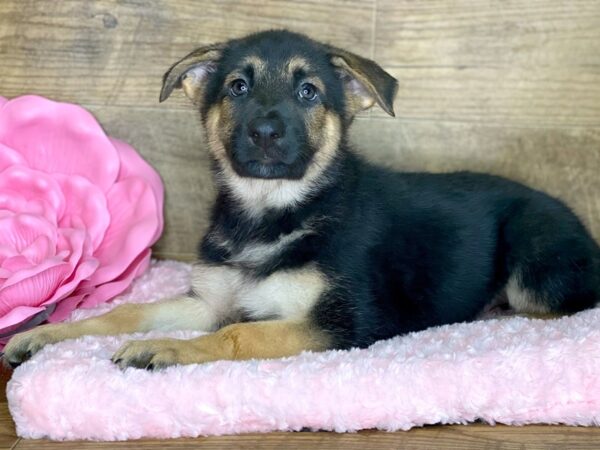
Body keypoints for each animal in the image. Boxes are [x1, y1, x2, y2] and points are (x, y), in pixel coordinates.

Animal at [4, 30, 600, 370]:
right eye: (238, 87)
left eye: (308, 91)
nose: (266, 132)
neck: (270, 212)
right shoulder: (209, 301)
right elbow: (126, 311)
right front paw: (50, 333)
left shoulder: (339, 324)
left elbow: (239, 333)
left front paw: (171, 349)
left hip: (533, 260)